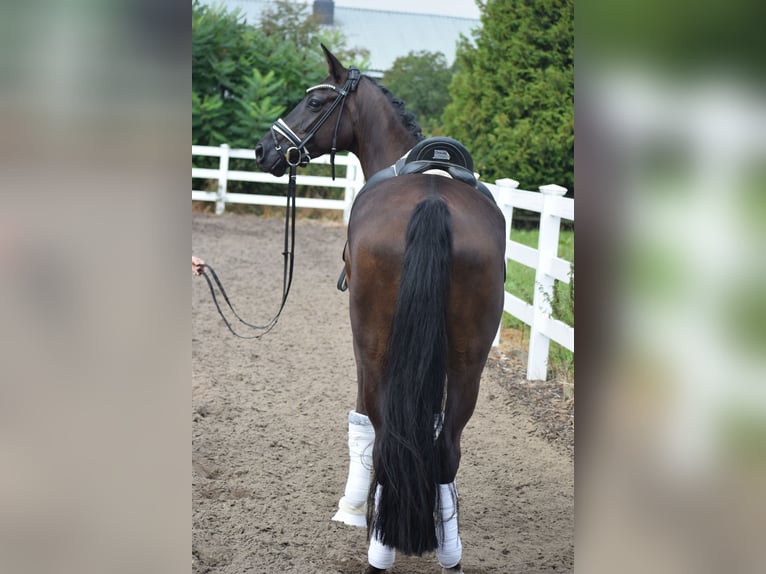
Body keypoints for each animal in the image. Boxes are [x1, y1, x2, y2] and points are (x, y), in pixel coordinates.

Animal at [258, 46, 510, 574]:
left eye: (315, 101)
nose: (263, 150)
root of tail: (433, 203)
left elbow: (362, 423)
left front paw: (354, 509)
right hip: (468, 361)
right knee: (445, 447)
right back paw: (448, 552)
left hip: (372, 344)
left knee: (382, 428)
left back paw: (379, 548)